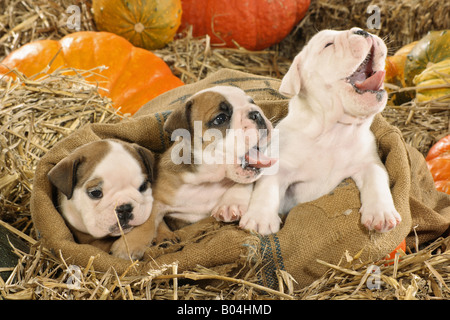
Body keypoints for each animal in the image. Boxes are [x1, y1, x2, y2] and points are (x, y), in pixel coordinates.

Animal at [110, 85, 276, 260]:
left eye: (252, 102)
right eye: (220, 118)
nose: (256, 114)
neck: (206, 179)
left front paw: (231, 203)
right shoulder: (156, 194)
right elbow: (147, 219)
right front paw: (130, 245)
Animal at [241, 27, 402, 235]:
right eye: (328, 45)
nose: (362, 31)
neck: (334, 131)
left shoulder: (369, 163)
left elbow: (377, 180)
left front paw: (381, 213)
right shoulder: (277, 165)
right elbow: (266, 189)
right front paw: (260, 218)